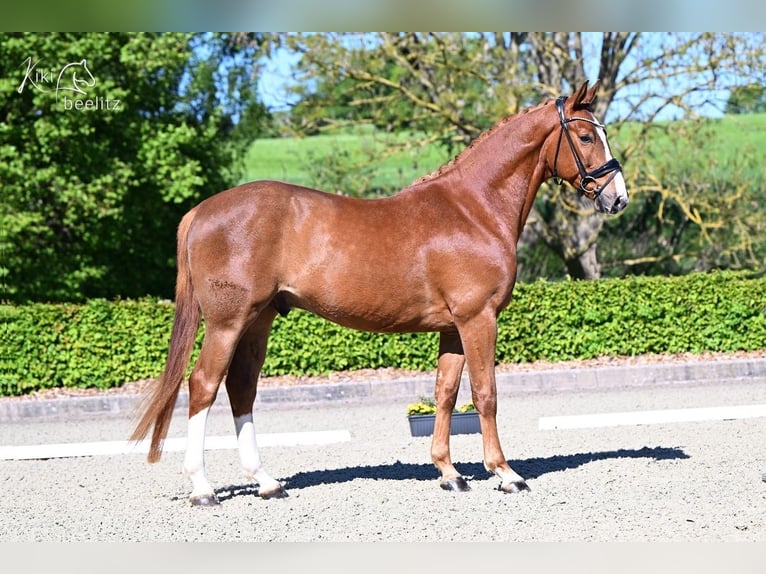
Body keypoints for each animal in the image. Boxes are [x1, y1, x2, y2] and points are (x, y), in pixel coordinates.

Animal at [130, 80, 628, 505]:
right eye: (586, 136)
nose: (618, 197)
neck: (474, 209)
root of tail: (201, 211)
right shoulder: (478, 318)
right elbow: (485, 393)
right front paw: (505, 473)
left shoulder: (453, 327)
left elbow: (446, 392)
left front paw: (450, 474)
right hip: (228, 322)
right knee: (203, 385)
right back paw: (202, 488)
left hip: (259, 319)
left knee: (241, 388)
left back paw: (267, 483)